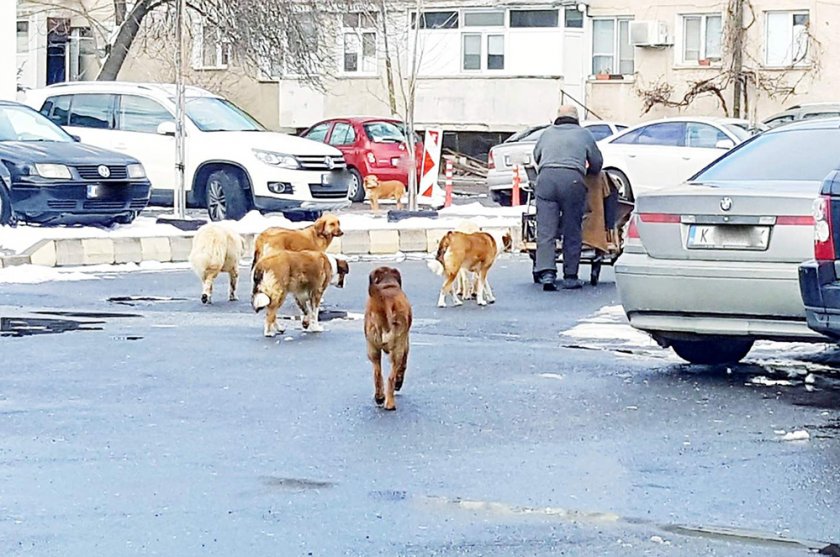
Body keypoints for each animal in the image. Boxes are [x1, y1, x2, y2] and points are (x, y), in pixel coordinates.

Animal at [364, 268, 414, 410]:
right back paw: (390, 403)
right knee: (391, 377)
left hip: (372, 349)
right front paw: (398, 383)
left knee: (377, 374)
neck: (387, 284)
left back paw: (380, 397)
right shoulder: (405, 343)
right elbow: (403, 366)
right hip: (398, 349)